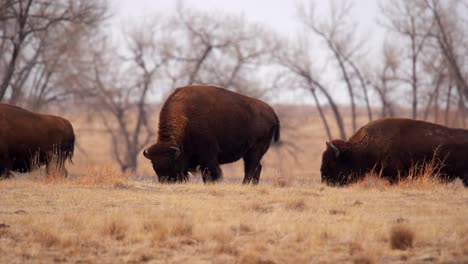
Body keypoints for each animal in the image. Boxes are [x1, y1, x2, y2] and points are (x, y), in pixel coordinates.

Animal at [143, 85, 280, 185]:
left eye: (171, 164)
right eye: (154, 166)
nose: (166, 181)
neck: (187, 118)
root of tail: (272, 112)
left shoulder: (208, 154)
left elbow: (210, 172)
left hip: (254, 150)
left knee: (251, 168)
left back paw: (245, 184)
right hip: (251, 152)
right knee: (257, 167)